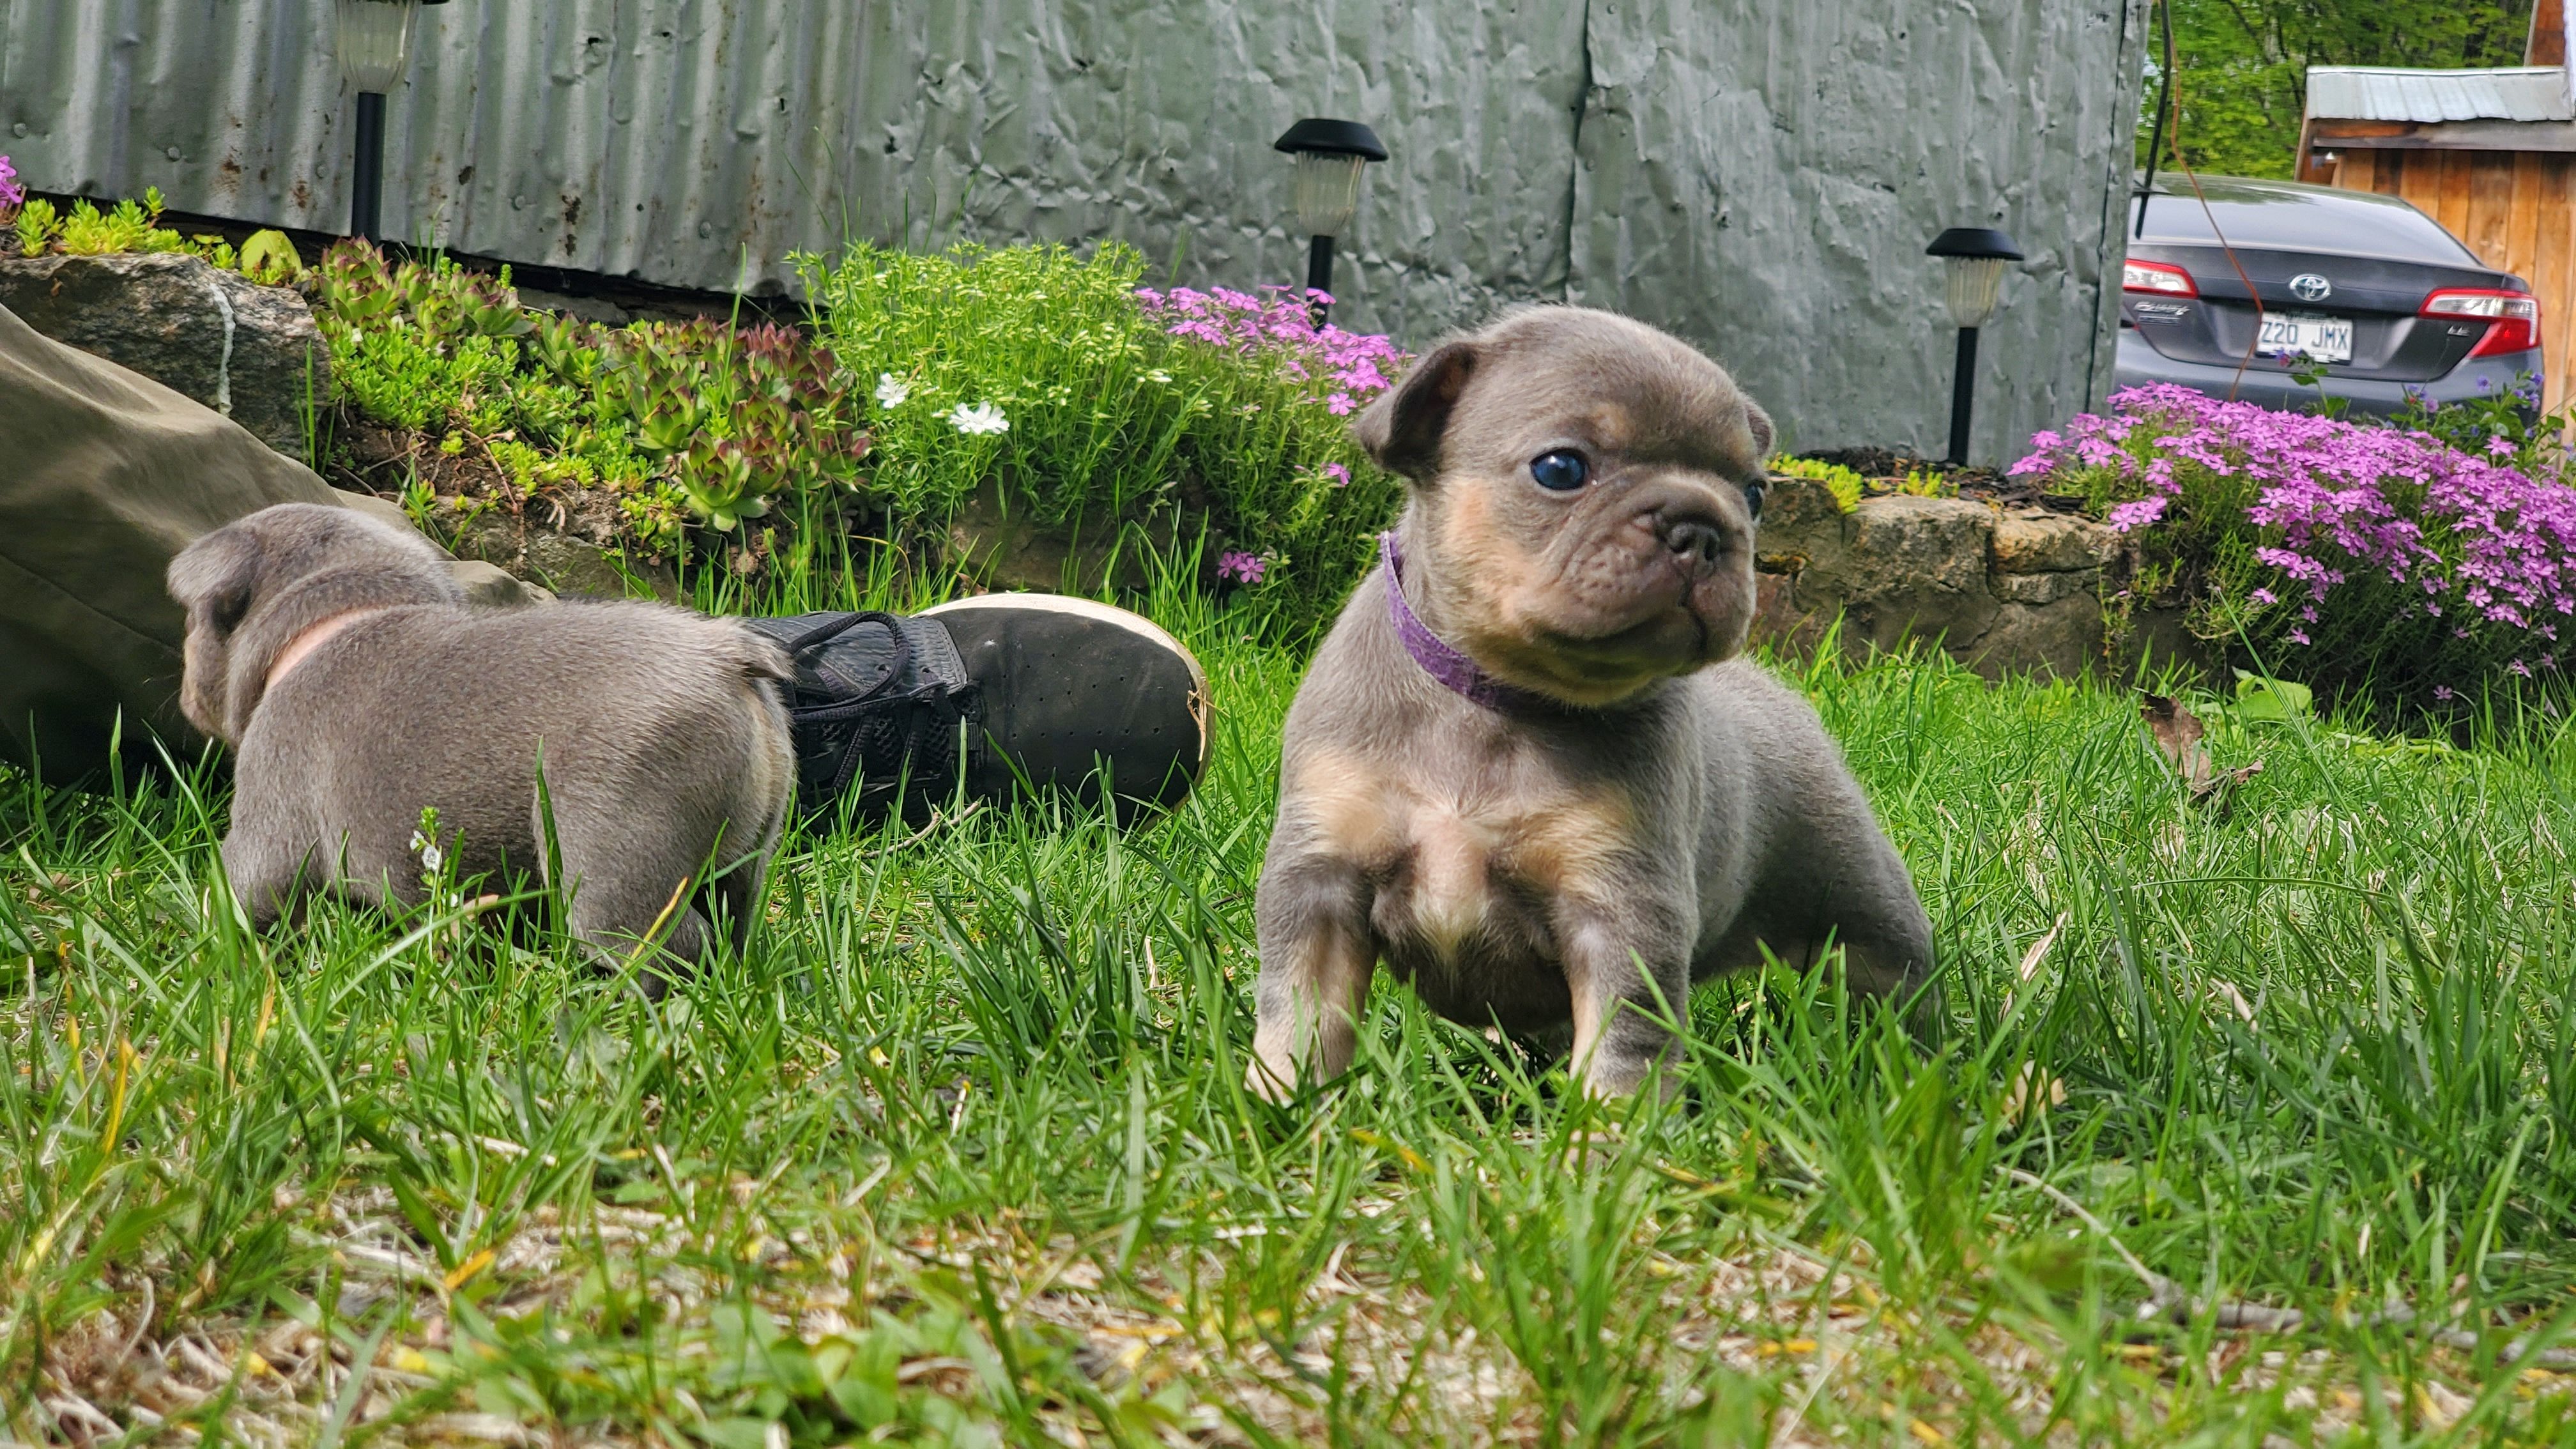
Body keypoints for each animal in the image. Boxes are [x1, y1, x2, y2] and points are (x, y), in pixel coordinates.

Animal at [171, 502, 793, 964]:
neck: (334, 621)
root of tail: (725, 659)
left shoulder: (269, 817)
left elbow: (243, 894)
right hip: (742, 861)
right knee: (729, 925)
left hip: (612, 860)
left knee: (663, 948)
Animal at [1246, 302, 1937, 1093]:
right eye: (1561, 469)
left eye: (1755, 493)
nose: (1703, 528)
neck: (1499, 695)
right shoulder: (1322, 884)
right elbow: (1302, 1016)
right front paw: (1281, 1101)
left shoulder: (1621, 912)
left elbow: (1620, 1051)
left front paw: (1608, 1127)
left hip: (1864, 912)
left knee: (1898, 989)